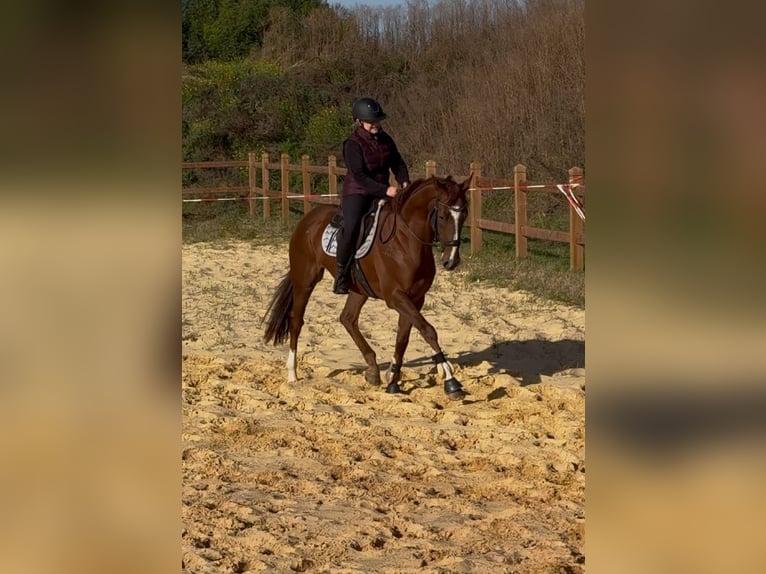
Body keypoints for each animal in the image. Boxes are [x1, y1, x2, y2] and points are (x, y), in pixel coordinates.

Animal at [262, 176, 468, 400]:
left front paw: (393, 381)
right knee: (296, 321)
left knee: (348, 319)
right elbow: (428, 330)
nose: (451, 261)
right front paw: (450, 380)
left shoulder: (415, 298)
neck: (405, 241)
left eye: (464, 215)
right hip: (305, 280)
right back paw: (292, 373)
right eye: (443, 216)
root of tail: (308, 219)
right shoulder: (396, 297)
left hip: (358, 290)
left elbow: (403, 338)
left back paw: (372, 369)